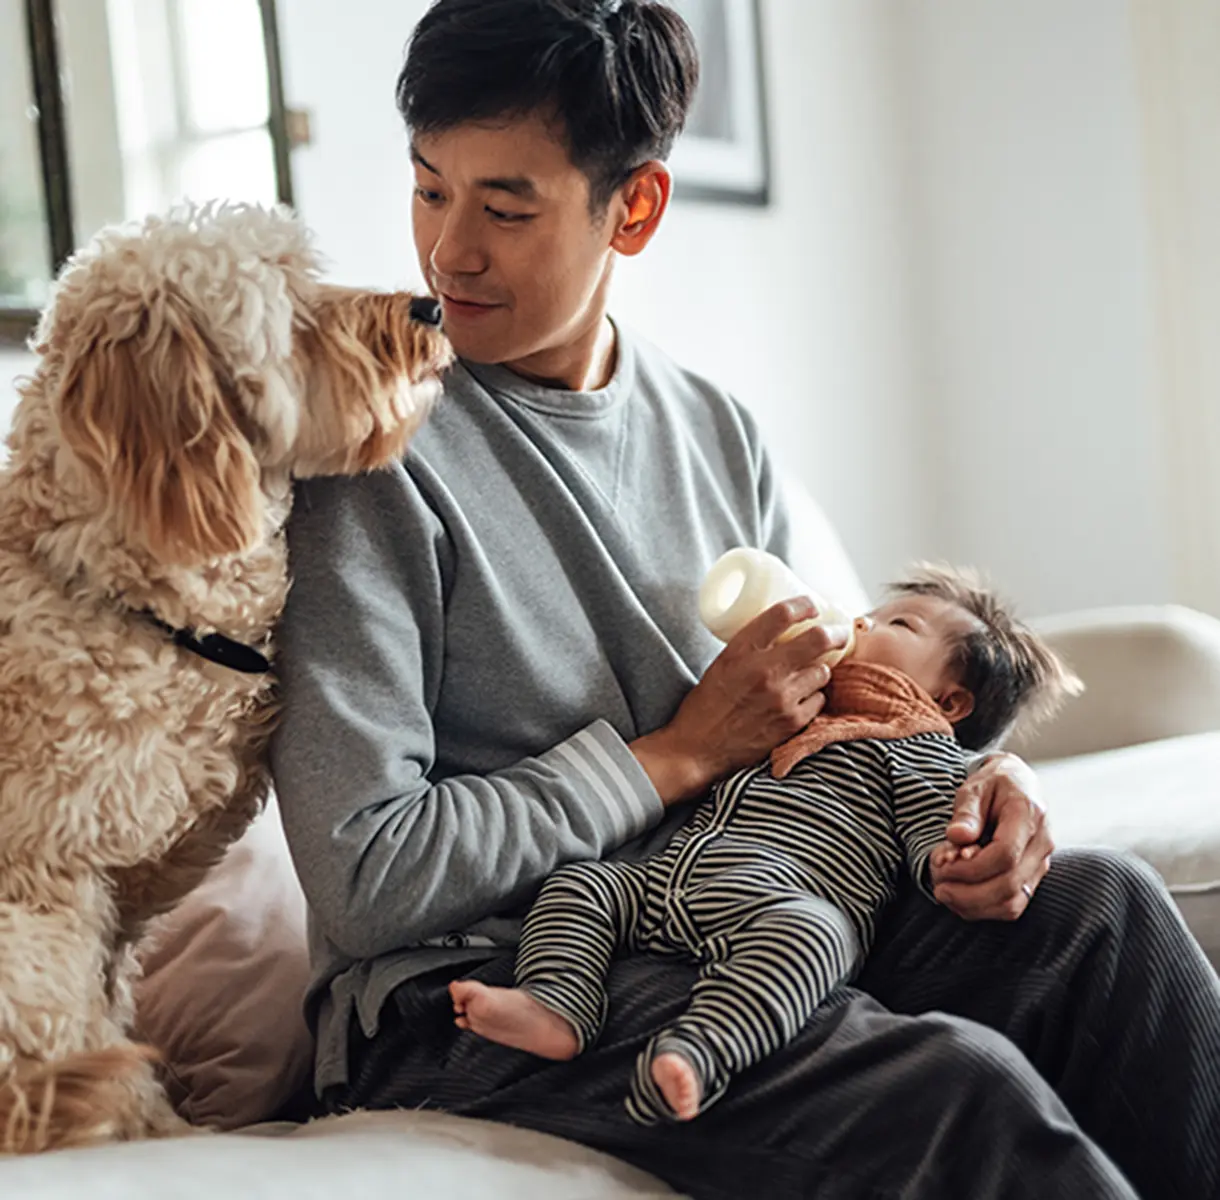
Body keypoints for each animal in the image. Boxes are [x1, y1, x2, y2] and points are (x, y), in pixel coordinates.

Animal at [0, 203, 453, 1151]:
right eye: (293, 316)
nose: (429, 307)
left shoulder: (127, 890)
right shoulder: (49, 881)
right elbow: (76, 1020)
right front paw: (144, 1122)